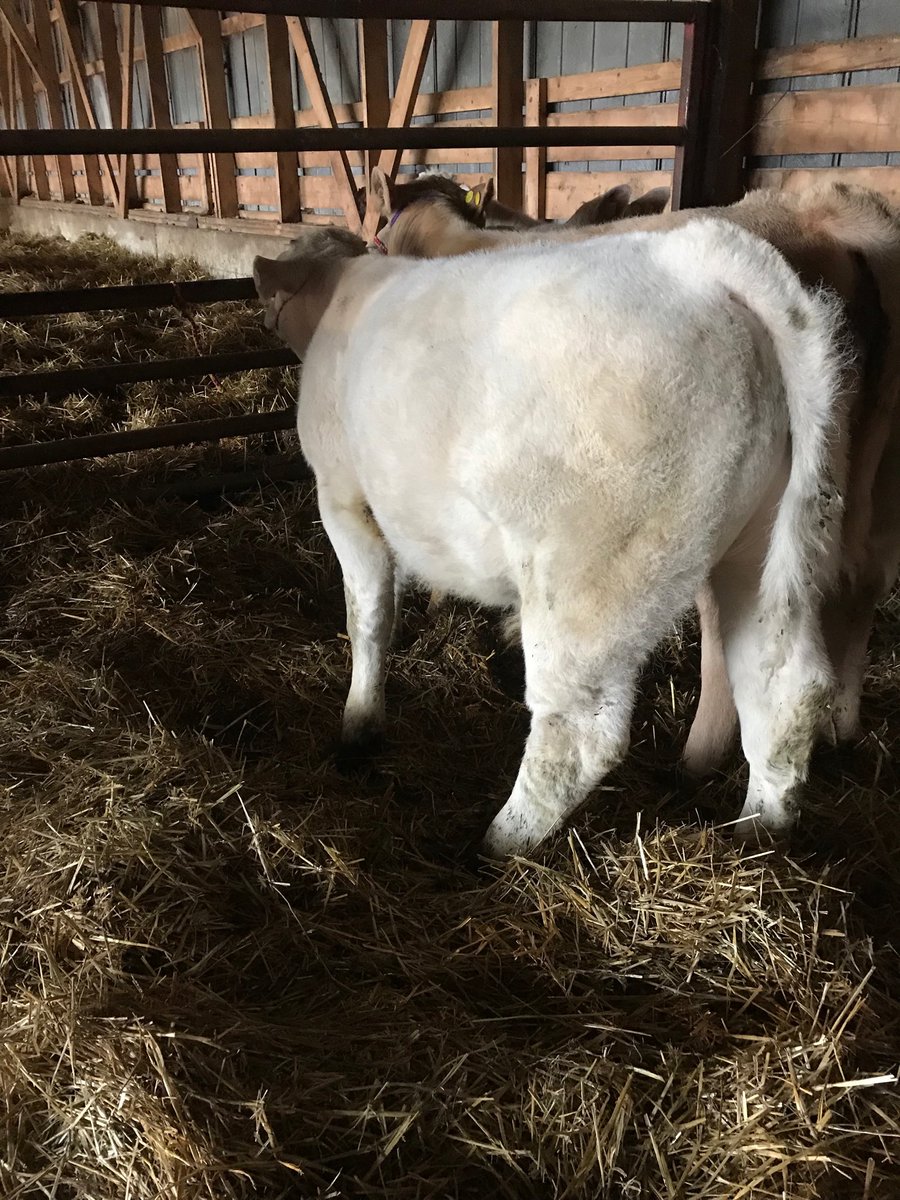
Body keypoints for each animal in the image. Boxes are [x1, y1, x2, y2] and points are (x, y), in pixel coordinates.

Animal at [253, 218, 847, 856]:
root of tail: (697, 260)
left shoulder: (342, 495)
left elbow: (367, 616)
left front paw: (359, 725)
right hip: (758, 548)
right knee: (785, 688)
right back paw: (760, 835)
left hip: (592, 582)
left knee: (580, 733)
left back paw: (498, 844)